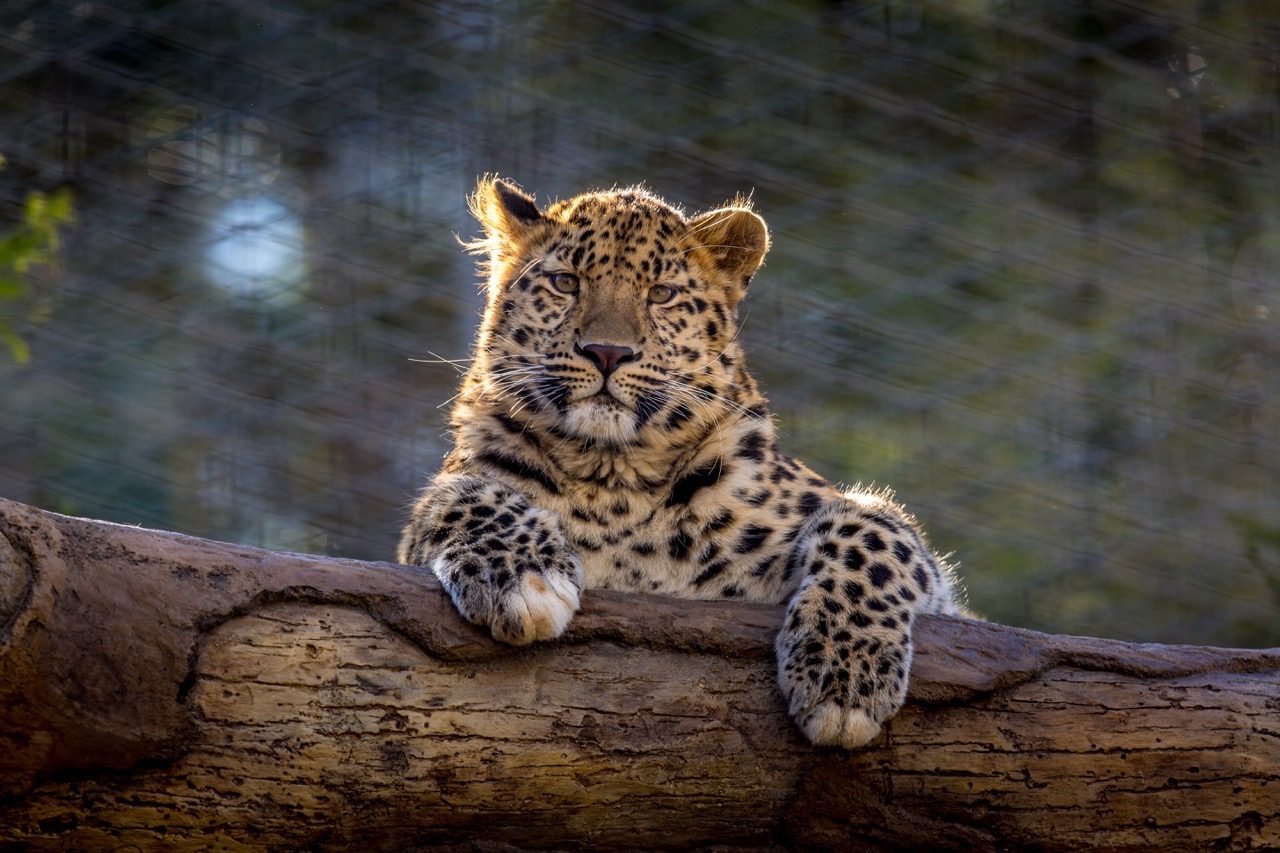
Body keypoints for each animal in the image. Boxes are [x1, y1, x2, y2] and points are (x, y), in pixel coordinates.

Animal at [398, 177, 968, 747]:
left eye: (662, 294)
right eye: (565, 283)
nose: (607, 353)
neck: (612, 479)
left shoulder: (938, 594)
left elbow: (869, 527)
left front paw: (844, 676)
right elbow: (455, 495)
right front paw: (522, 579)